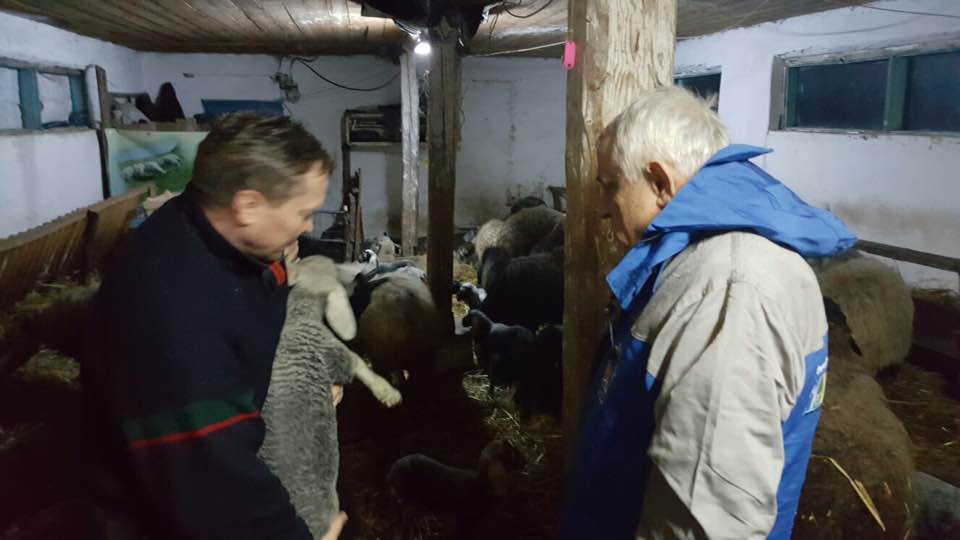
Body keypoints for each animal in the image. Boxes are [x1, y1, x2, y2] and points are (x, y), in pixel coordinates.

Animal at [387, 439, 526, 536]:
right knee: (402, 527)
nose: (525, 460)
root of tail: (393, 470)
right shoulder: (466, 517)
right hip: (408, 500)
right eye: (510, 453)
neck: (482, 482)